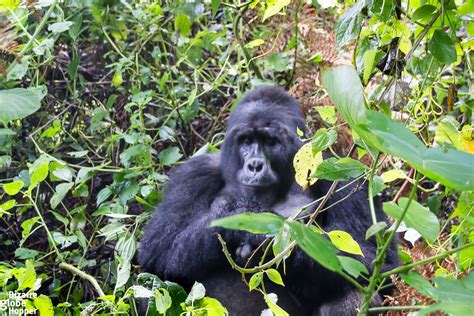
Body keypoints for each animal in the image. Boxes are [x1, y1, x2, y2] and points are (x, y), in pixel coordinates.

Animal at [139, 85, 398, 314]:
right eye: (246, 141)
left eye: (270, 142)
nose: (255, 165)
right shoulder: (194, 173)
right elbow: (159, 246)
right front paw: (242, 220)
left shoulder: (345, 174)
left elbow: (375, 260)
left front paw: (268, 236)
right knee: (150, 287)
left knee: (355, 290)